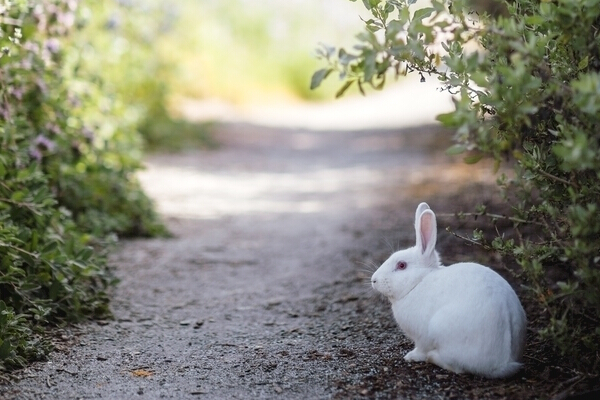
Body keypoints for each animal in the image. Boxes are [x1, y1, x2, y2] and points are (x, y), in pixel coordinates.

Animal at [370, 203, 524, 378]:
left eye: (401, 265)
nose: (374, 280)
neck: (418, 282)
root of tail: (503, 363)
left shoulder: (422, 337)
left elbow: (420, 349)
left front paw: (410, 356)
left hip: (442, 330)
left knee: (457, 368)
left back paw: (432, 357)